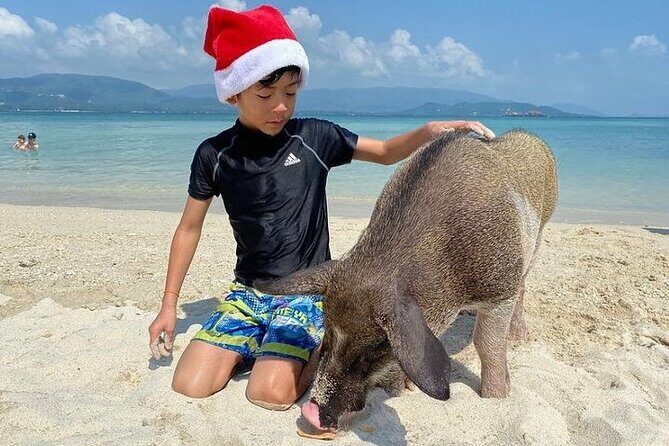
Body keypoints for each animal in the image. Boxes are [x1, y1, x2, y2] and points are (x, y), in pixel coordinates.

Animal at [256, 130, 558, 432]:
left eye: (379, 344)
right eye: (327, 328)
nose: (310, 412)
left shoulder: (499, 286)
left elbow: (487, 342)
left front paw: (497, 397)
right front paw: (406, 388)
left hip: (539, 233)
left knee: (523, 285)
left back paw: (518, 337)